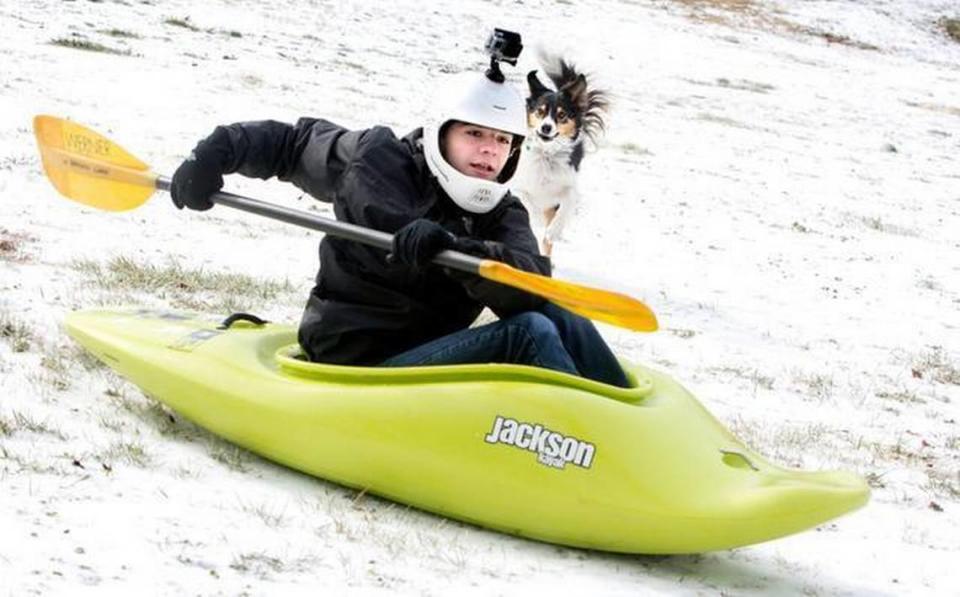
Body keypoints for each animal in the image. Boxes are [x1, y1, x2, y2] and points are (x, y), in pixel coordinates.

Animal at [510, 53, 608, 254]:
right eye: (540, 111)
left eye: (561, 115)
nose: (546, 128)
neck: (547, 154)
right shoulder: (517, 186)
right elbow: (526, 202)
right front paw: (536, 219)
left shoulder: (568, 186)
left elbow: (568, 202)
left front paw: (553, 231)